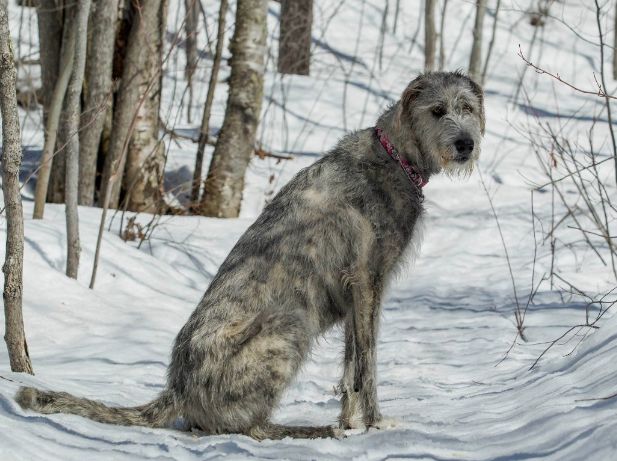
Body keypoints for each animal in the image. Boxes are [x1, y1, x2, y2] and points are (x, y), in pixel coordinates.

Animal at [14, 71, 484, 438]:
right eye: (437, 110)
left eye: (467, 107)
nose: (466, 144)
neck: (395, 153)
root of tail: (178, 387)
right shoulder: (368, 282)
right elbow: (366, 367)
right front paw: (375, 424)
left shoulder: (357, 293)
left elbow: (350, 368)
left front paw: (352, 423)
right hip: (289, 324)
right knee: (248, 428)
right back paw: (304, 431)